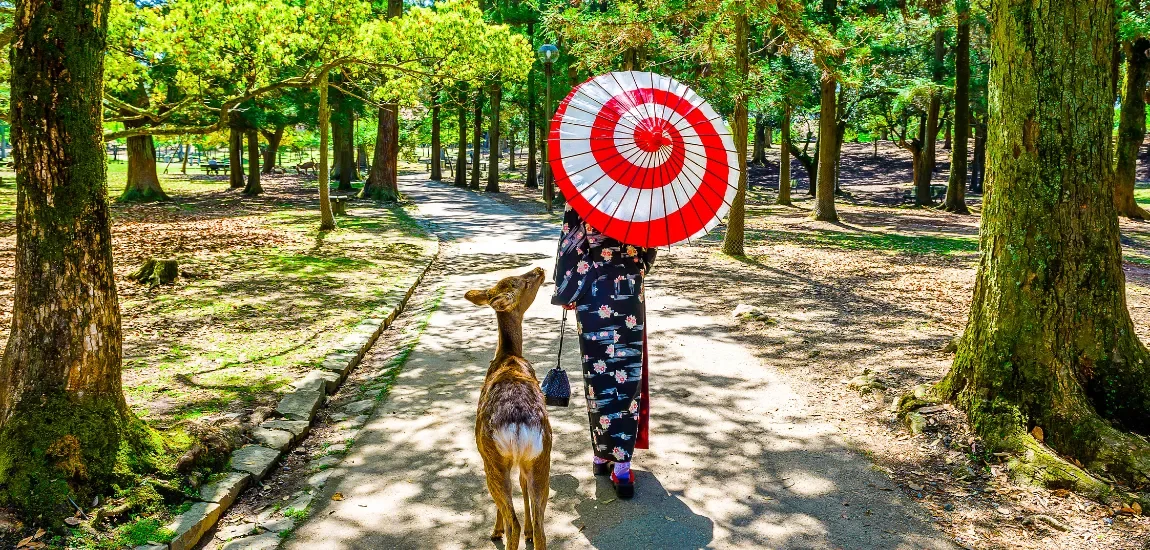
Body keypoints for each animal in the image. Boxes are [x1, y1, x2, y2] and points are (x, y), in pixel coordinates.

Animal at [464, 267, 553, 550]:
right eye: (519, 281)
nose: (539, 269)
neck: (508, 356)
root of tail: (518, 426)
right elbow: (523, 489)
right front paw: (527, 532)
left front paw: (496, 530)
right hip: (541, 456)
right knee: (542, 526)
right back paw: (531, 532)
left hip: (492, 458)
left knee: (511, 517)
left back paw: (503, 532)